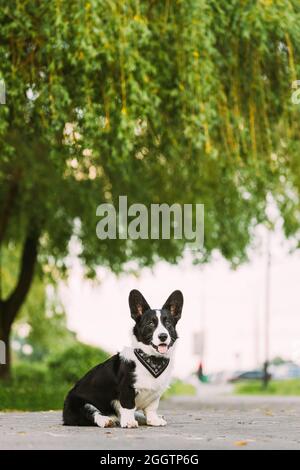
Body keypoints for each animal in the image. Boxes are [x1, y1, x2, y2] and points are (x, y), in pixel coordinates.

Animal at [63, 288, 183, 428]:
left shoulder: (155, 395)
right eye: (150, 323)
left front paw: (153, 420)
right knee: (93, 413)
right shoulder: (127, 389)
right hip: (80, 404)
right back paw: (106, 420)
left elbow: (151, 409)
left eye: (168, 323)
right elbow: (128, 407)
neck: (152, 359)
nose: (163, 336)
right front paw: (129, 422)